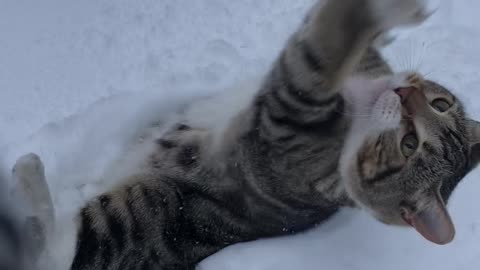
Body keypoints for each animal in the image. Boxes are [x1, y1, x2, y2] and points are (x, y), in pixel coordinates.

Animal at [6, 0, 480, 268]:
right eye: (441, 104)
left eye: (408, 145)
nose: (405, 93)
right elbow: (341, 44)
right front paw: (392, 18)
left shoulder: (287, 123)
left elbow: (317, 53)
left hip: (140, 213)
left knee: (51, 249)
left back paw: (27, 170)